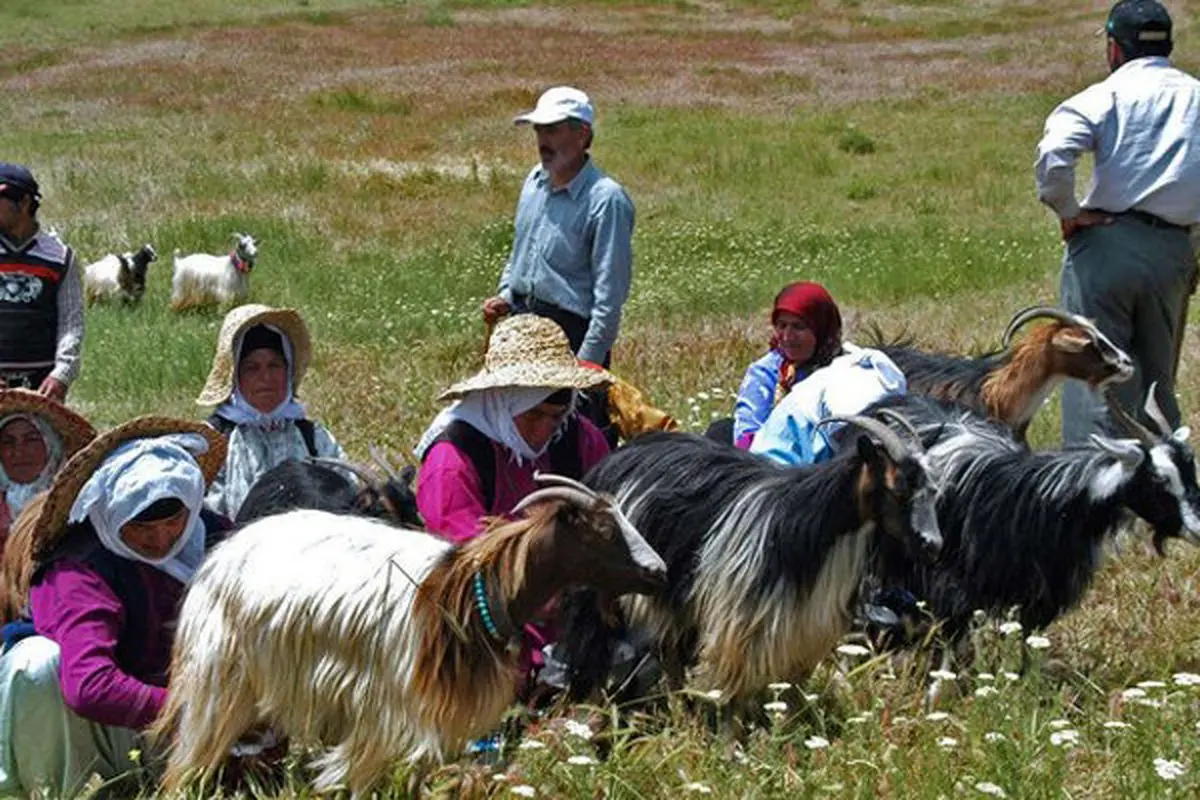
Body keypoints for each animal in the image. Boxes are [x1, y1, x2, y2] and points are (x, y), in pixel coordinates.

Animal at [152, 474, 667, 796]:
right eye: (604, 530)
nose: (658, 571)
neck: (469, 592)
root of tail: (217, 559)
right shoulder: (390, 709)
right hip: (219, 678)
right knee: (187, 761)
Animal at [556, 417, 940, 710]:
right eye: (898, 490)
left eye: (933, 491)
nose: (932, 544)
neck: (807, 525)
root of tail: (609, 463)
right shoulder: (743, 620)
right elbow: (738, 691)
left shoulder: (803, 625)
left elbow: (794, 686)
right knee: (594, 644)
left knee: (669, 652)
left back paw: (681, 707)